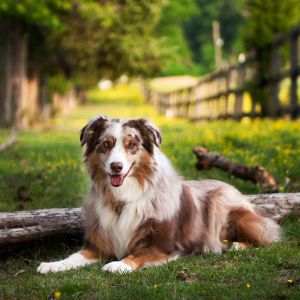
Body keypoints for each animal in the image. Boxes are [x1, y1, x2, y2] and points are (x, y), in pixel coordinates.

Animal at [37, 116, 282, 274]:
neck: (122, 199)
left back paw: (237, 245)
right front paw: (52, 265)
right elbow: (74, 256)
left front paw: (119, 264)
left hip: (220, 203)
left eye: (132, 145)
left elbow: (138, 255)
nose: (116, 167)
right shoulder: (99, 245)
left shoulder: (163, 246)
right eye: (106, 144)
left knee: (266, 235)